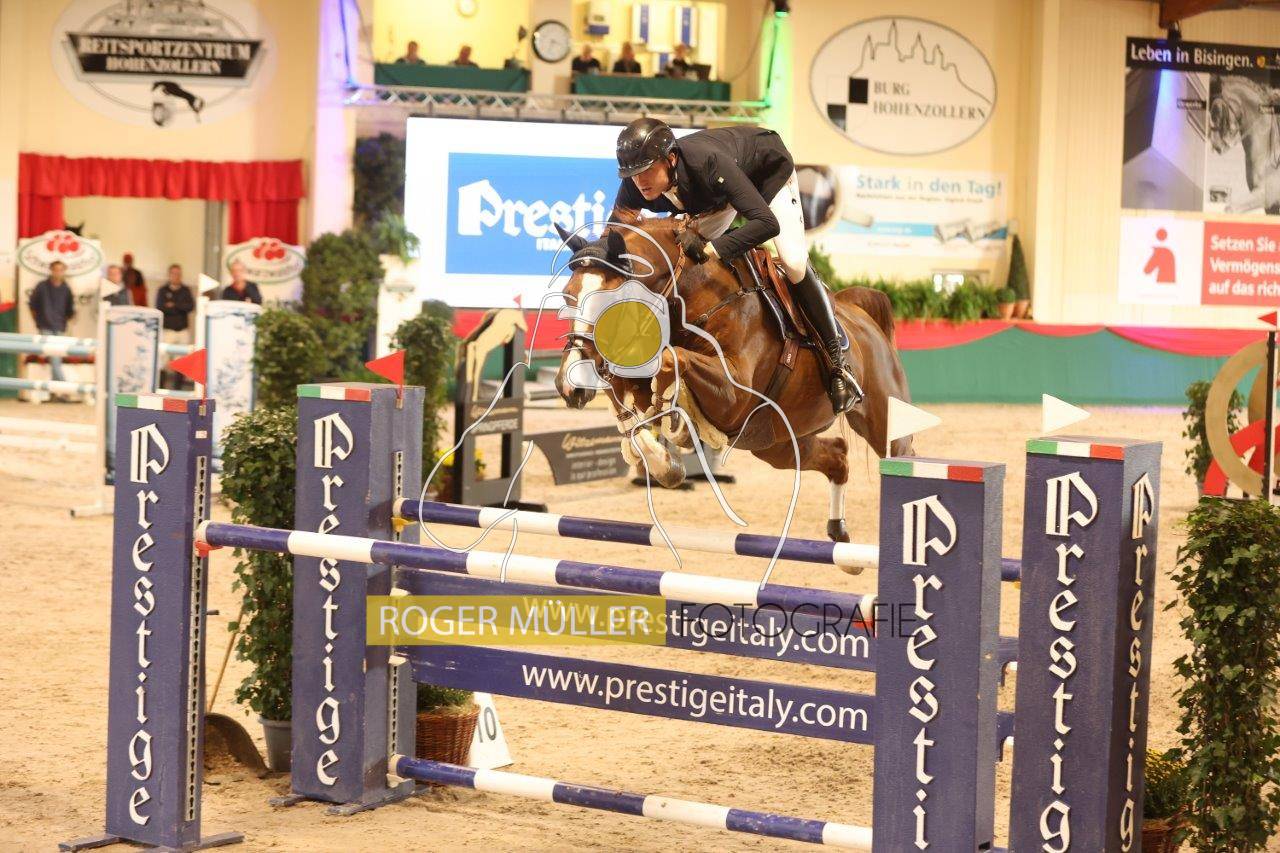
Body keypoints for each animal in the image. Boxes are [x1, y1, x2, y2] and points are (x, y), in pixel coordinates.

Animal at [552, 218, 913, 543]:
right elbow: (627, 396)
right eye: (568, 295)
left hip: (882, 421)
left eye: (608, 301)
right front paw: (662, 460)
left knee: (900, 455)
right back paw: (838, 530)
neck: (695, 297)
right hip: (776, 442)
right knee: (837, 454)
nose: (569, 385)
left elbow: (672, 359)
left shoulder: (734, 396)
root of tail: (861, 312)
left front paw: (678, 427)